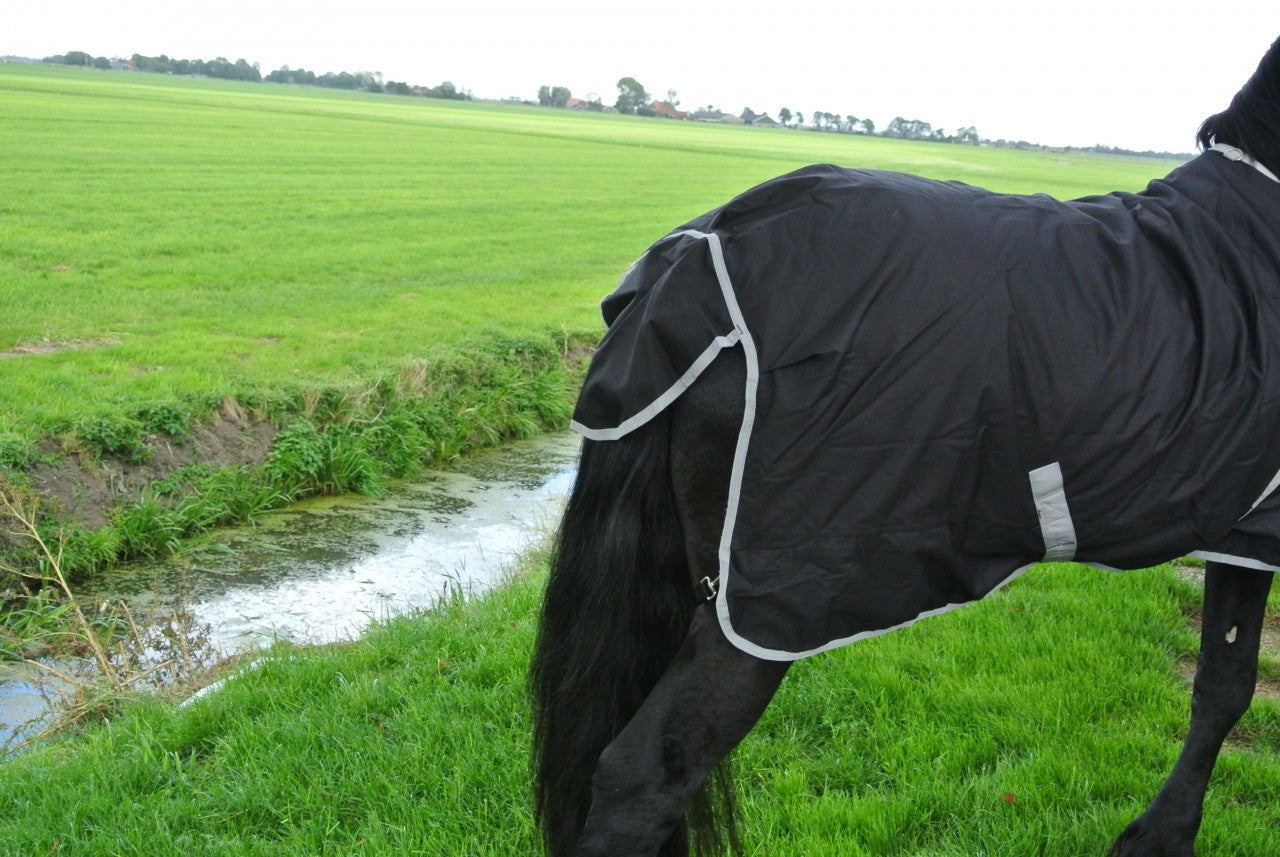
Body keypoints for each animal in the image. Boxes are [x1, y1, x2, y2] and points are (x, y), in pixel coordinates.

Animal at [531, 37, 1280, 857]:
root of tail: (687, 265)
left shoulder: (1244, 531)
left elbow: (1222, 678)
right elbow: (1230, 686)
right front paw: (1161, 835)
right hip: (759, 611)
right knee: (644, 777)